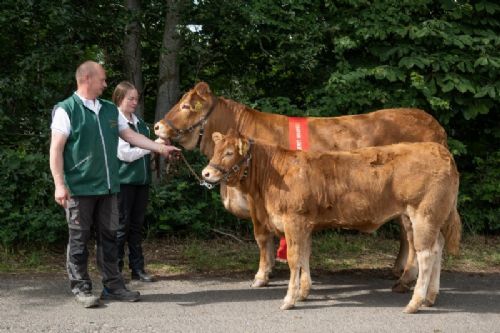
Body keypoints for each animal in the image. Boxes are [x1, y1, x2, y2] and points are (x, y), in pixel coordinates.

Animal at [153, 81, 450, 290]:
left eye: (186, 107)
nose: (156, 126)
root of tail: (432, 122)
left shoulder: (257, 202)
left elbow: (262, 237)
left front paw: (261, 275)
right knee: (407, 235)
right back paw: (399, 271)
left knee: (412, 237)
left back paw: (406, 277)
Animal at [200, 131, 460, 312]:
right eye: (215, 150)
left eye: (229, 152)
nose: (205, 173)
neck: (274, 174)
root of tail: (440, 151)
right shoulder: (304, 224)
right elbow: (305, 255)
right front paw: (303, 292)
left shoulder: (293, 220)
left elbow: (294, 259)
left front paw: (289, 299)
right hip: (429, 217)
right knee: (437, 248)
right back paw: (430, 297)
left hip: (423, 214)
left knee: (425, 254)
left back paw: (415, 303)